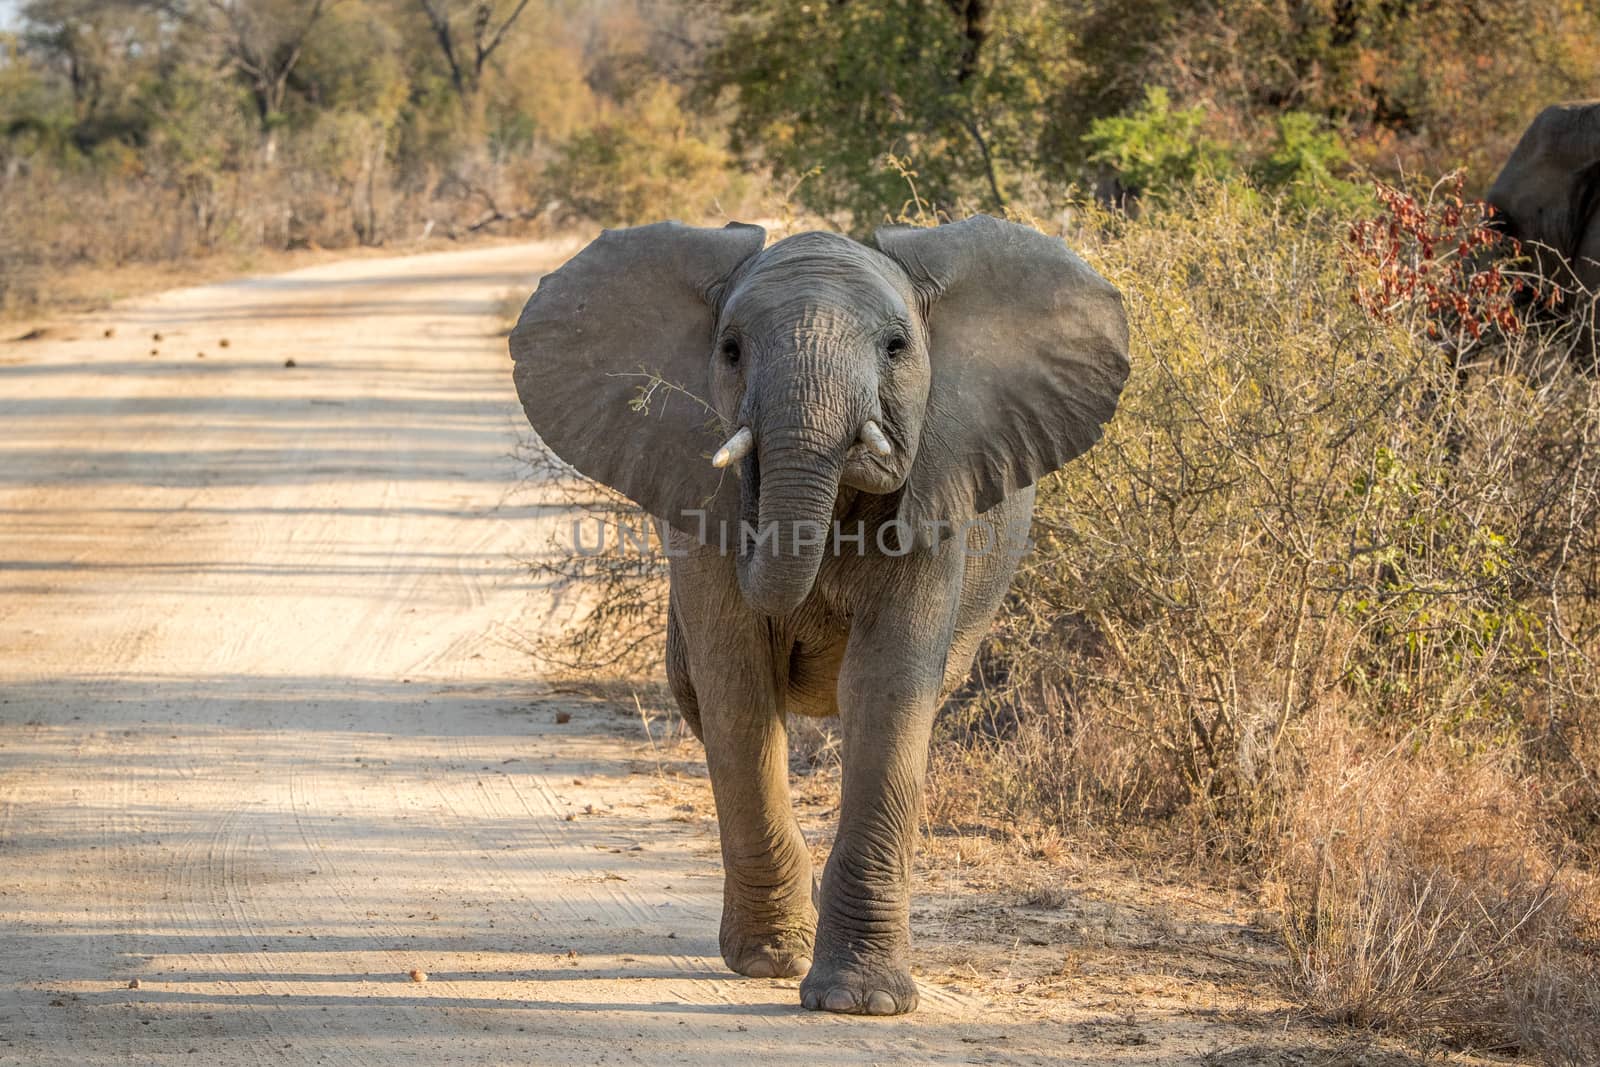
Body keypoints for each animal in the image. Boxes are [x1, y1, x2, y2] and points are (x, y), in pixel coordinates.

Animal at [508, 212, 1126, 1017]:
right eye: (730, 351)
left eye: (897, 348)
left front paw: (861, 1003)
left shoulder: (936, 498)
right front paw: (771, 961)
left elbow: (887, 688)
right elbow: (739, 687)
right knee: (705, 698)